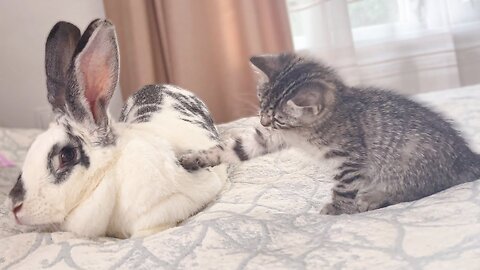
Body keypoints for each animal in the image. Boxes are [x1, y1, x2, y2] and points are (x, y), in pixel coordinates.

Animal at [178, 52, 480, 214]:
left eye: (277, 117)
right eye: (261, 103)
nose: (263, 121)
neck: (302, 131)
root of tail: (466, 156)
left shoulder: (350, 156)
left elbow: (343, 185)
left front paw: (337, 208)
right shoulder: (268, 138)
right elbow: (234, 149)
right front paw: (195, 159)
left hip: (410, 161)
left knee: (416, 190)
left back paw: (373, 198)